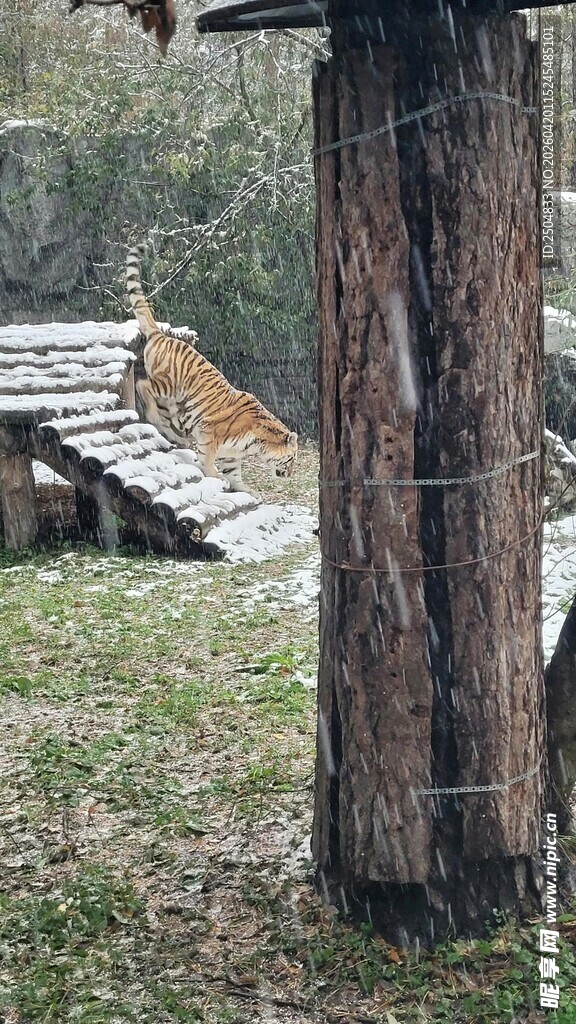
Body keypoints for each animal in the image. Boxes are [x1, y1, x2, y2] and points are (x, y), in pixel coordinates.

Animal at [125, 245, 298, 493]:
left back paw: (177, 437)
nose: (290, 474)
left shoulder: (231, 453)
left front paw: (247, 491)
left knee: (165, 419)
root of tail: (161, 334)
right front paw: (215, 476)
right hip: (169, 385)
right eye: (292, 458)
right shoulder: (210, 432)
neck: (258, 443)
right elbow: (207, 457)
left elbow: (235, 473)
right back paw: (154, 416)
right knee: (143, 384)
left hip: (173, 404)